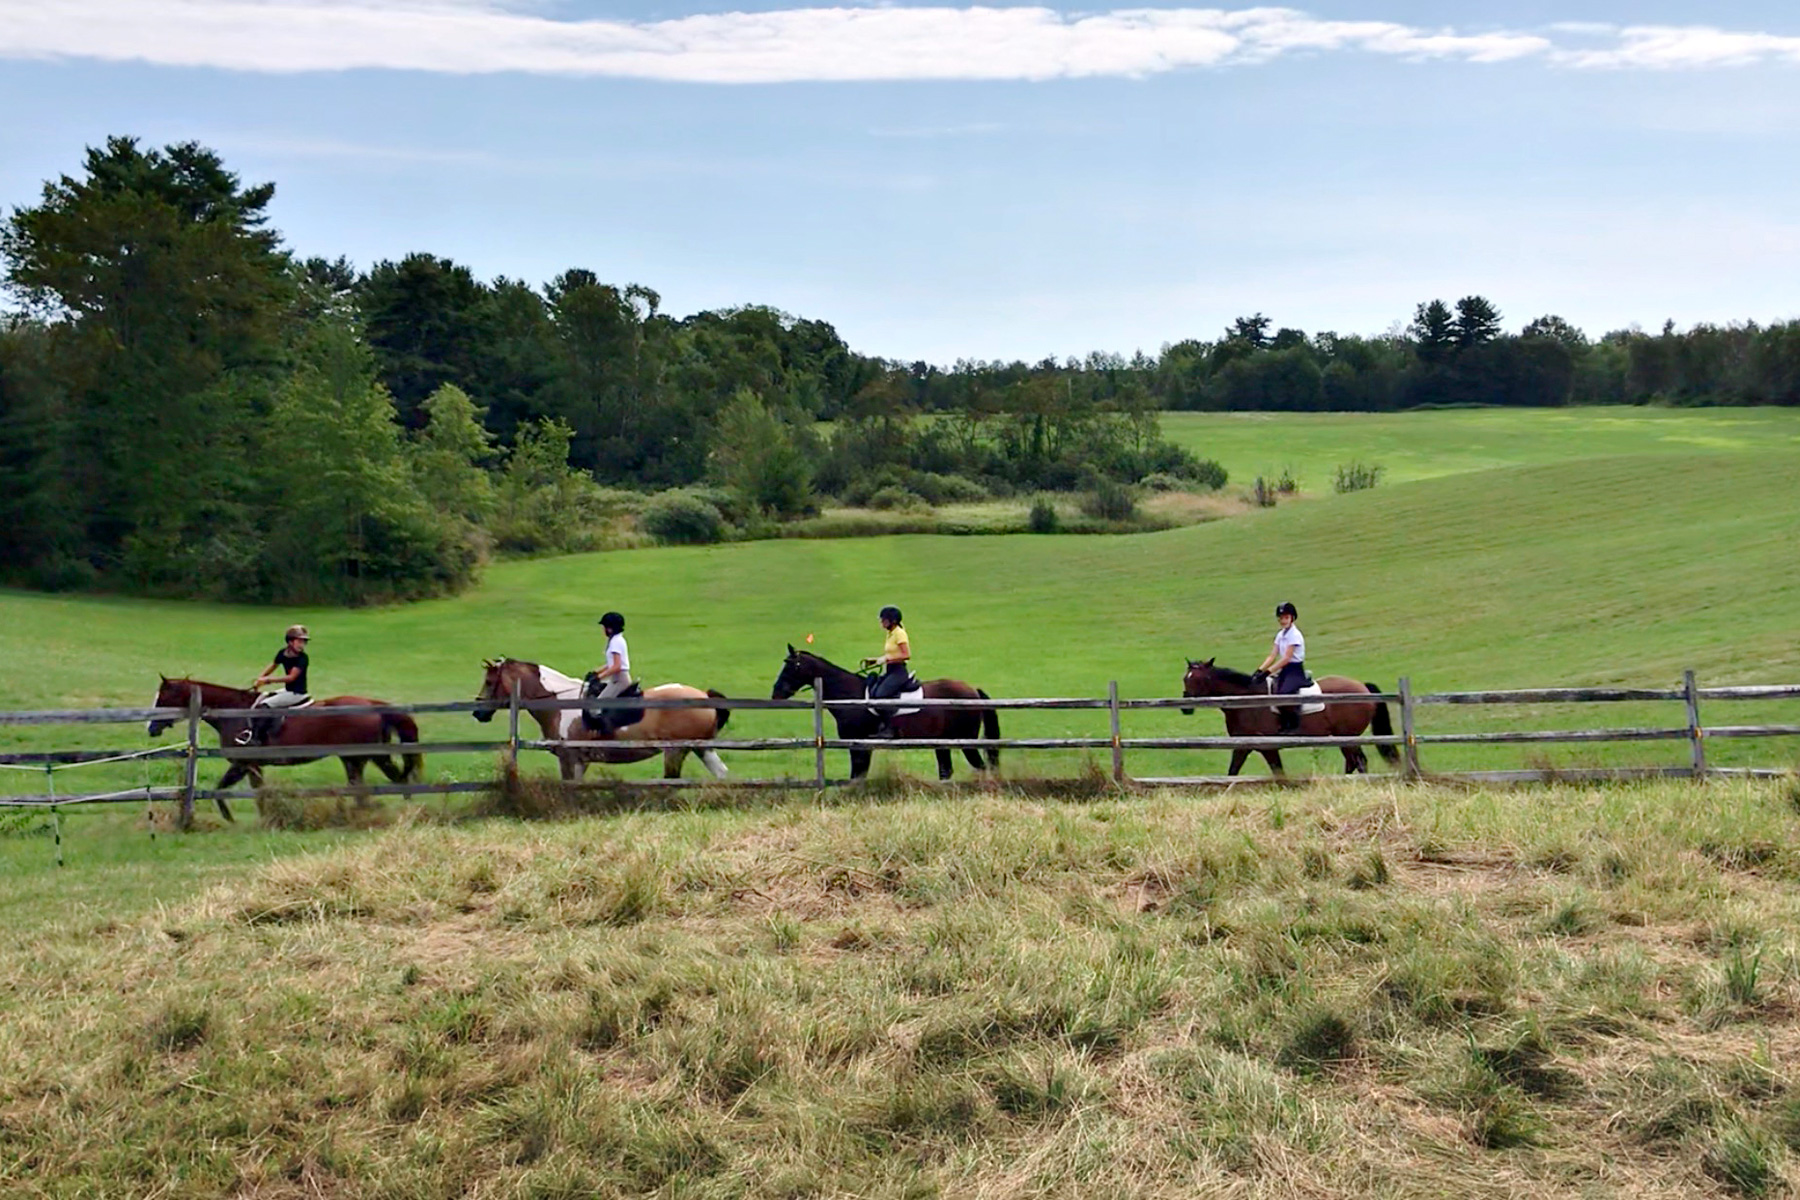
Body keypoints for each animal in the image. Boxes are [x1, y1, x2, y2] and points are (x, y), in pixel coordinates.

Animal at [146, 680, 421, 820]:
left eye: (163, 698)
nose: (151, 728)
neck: (232, 713)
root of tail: (372, 705)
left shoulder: (246, 764)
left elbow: (246, 793)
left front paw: (260, 819)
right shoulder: (246, 766)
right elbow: (229, 790)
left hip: (368, 756)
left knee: (396, 779)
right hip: (355, 759)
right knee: (365, 788)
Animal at [478, 651, 738, 784]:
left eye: (490, 682)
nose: (478, 712)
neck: (559, 701)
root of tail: (704, 695)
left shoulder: (569, 758)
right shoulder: (580, 760)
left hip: (676, 750)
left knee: (672, 780)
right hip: (701, 747)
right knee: (722, 774)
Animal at [770, 644, 1008, 784]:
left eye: (792, 666)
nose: (776, 693)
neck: (850, 696)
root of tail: (972, 690)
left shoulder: (858, 745)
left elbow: (857, 775)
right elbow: (858, 775)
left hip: (965, 740)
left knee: (980, 766)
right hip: (943, 742)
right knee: (947, 771)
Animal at [1180, 658, 1404, 780]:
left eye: (1200, 679)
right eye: (1185, 678)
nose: (1185, 708)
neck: (1246, 700)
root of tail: (1362, 686)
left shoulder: (1267, 747)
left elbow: (1278, 773)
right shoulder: (1243, 745)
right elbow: (1233, 772)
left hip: (1348, 736)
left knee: (1359, 762)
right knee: (1352, 762)